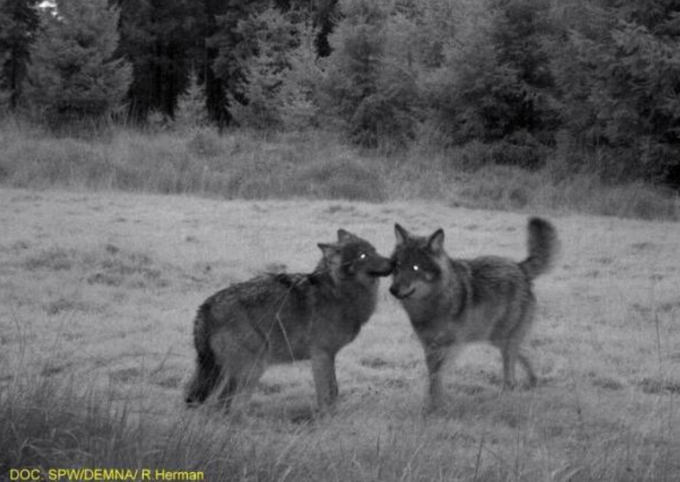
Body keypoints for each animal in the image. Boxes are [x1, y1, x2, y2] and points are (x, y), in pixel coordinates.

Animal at [183, 228, 394, 412]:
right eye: (363, 256)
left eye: (374, 250)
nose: (393, 262)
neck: (338, 293)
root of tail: (205, 308)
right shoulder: (321, 355)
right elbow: (327, 394)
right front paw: (327, 418)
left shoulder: (330, 355)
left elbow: (334, 389)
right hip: (253, 368)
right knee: (226, 404)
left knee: (221, 404)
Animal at [388, 217, 556, 410]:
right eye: (398, 265)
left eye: (416, 268)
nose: (393, 290)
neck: (433, 302)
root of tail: (520, 267)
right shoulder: (430, 347)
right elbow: (432, 378)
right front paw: (432, 404)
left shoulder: (450, 347)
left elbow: (437, 378)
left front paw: (436, 407)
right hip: (497, 339)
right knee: (524, 354)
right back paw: (532, 382)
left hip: (502, 341)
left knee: (510, 377)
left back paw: (505, 399)